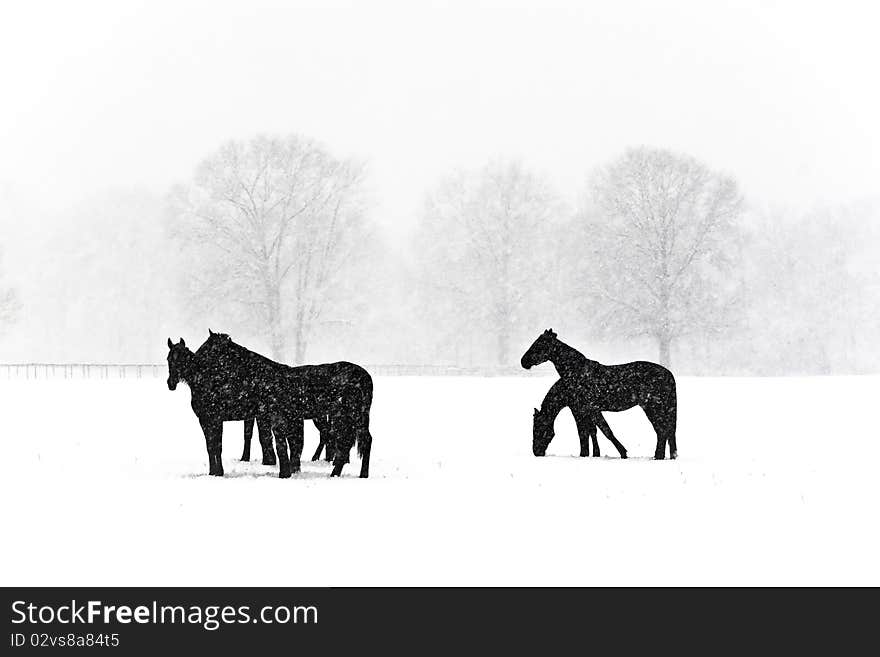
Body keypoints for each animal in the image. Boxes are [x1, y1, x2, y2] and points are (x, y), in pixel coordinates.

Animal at [167, 334, 372, 476]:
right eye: (169, 358)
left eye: (208, 347)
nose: (171, 383)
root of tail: (364, 376)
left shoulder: (213, 419)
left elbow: (216, 446)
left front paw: (217, 472)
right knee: (349, 441)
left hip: (345, 416)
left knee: (347, 441)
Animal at [524, 328, 680, 462]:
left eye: (539, 345)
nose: (523, 361)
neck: (576, 373)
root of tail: (668, 374)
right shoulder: (590, 411)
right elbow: (596, 431)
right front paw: (599, 454)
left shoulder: (581, 410)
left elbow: (592, 433)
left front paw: (588, 455)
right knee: (667, 431)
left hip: (652, 408)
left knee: (662, 431)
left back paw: (658, 457)